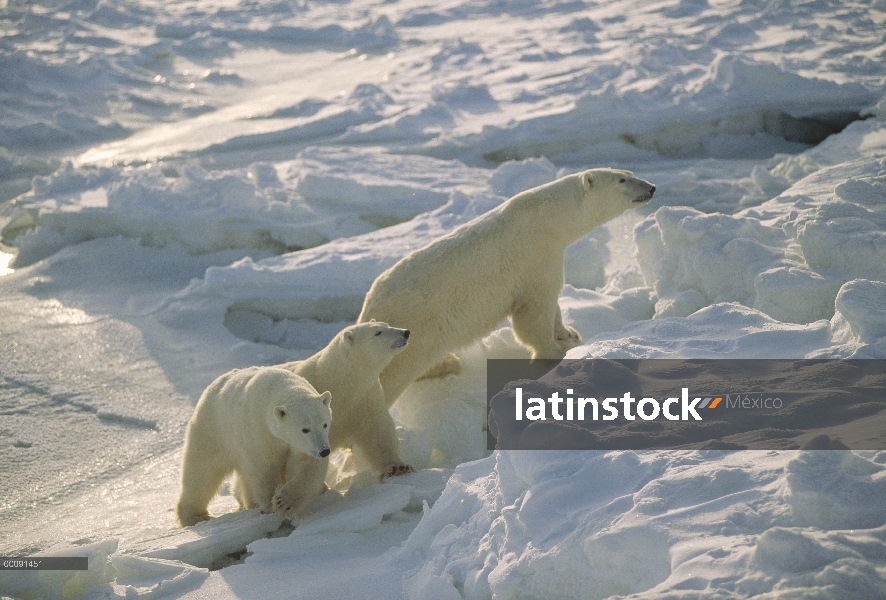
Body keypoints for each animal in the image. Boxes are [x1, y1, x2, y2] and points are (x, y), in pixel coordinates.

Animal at [358, 166, 656, 406]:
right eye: (621, 180)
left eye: (628, 172)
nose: (651, 187)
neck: (548, 218)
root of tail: (367, 310)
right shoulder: (535, 254)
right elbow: (534, 310)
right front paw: (553, 351)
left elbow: (552, 304)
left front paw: (569, 333)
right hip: (410, 329)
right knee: (390, 376)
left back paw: (447, 363)